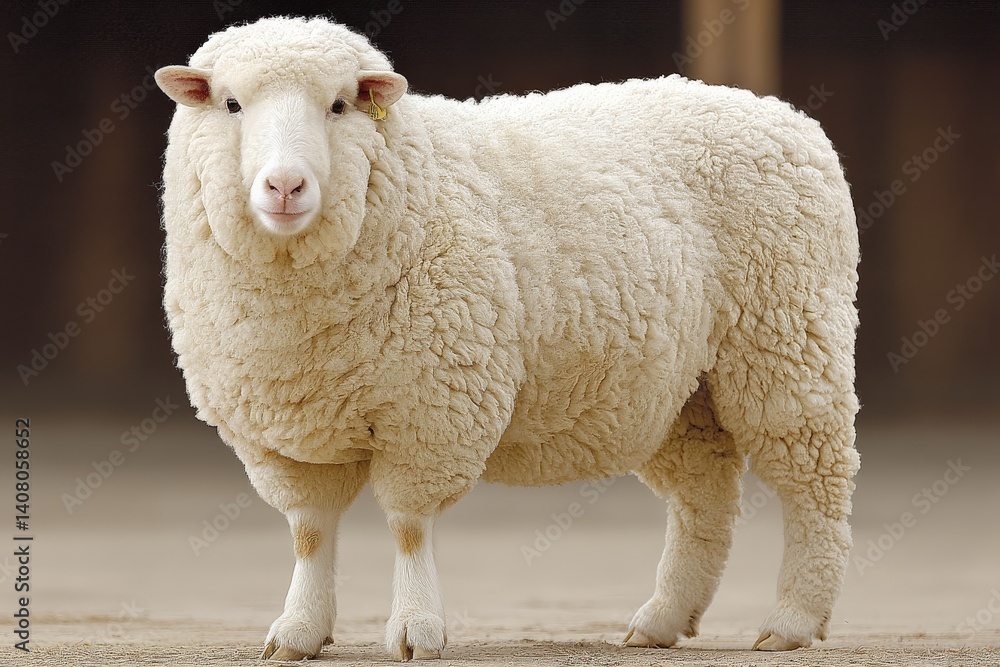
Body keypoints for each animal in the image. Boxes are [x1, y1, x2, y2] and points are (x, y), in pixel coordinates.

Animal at [154, 15, 861, 662]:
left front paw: (416, 629)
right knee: (703, 498)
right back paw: (661, 620)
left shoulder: (433, 409)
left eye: (339, 105)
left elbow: (409, 527)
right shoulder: (288, 428)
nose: (284, 186)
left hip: (789, 341)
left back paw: (793, 621)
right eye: (230, 104)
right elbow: (309, 532)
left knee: (813, 486)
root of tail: (782, 114)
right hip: (683, 390)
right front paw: (299, 631)